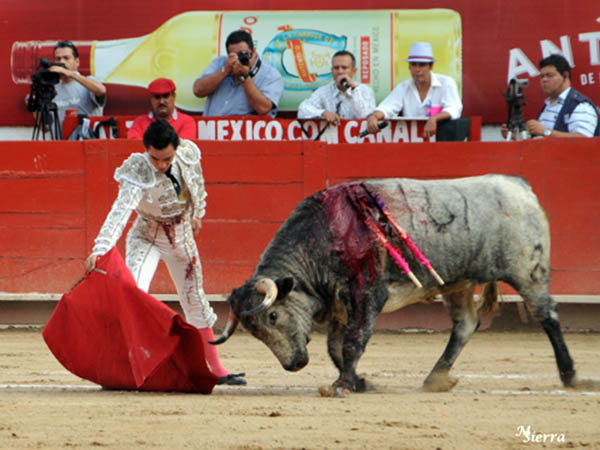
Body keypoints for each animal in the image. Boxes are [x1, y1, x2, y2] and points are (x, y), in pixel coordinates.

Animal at [212, 175, 576, 394]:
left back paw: (570, 375)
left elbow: (352, 343)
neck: (325, 237)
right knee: (465, 324)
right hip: (458, 283)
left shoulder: (367, 295)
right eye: (254, 332)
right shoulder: (341, 305)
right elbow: (335, 347)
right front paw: (358, 381)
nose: (294, 365)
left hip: (528, 272)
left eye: (272, 316)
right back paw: (435, 378)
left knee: (547, 315)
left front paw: (344, 385)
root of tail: (520, 185)